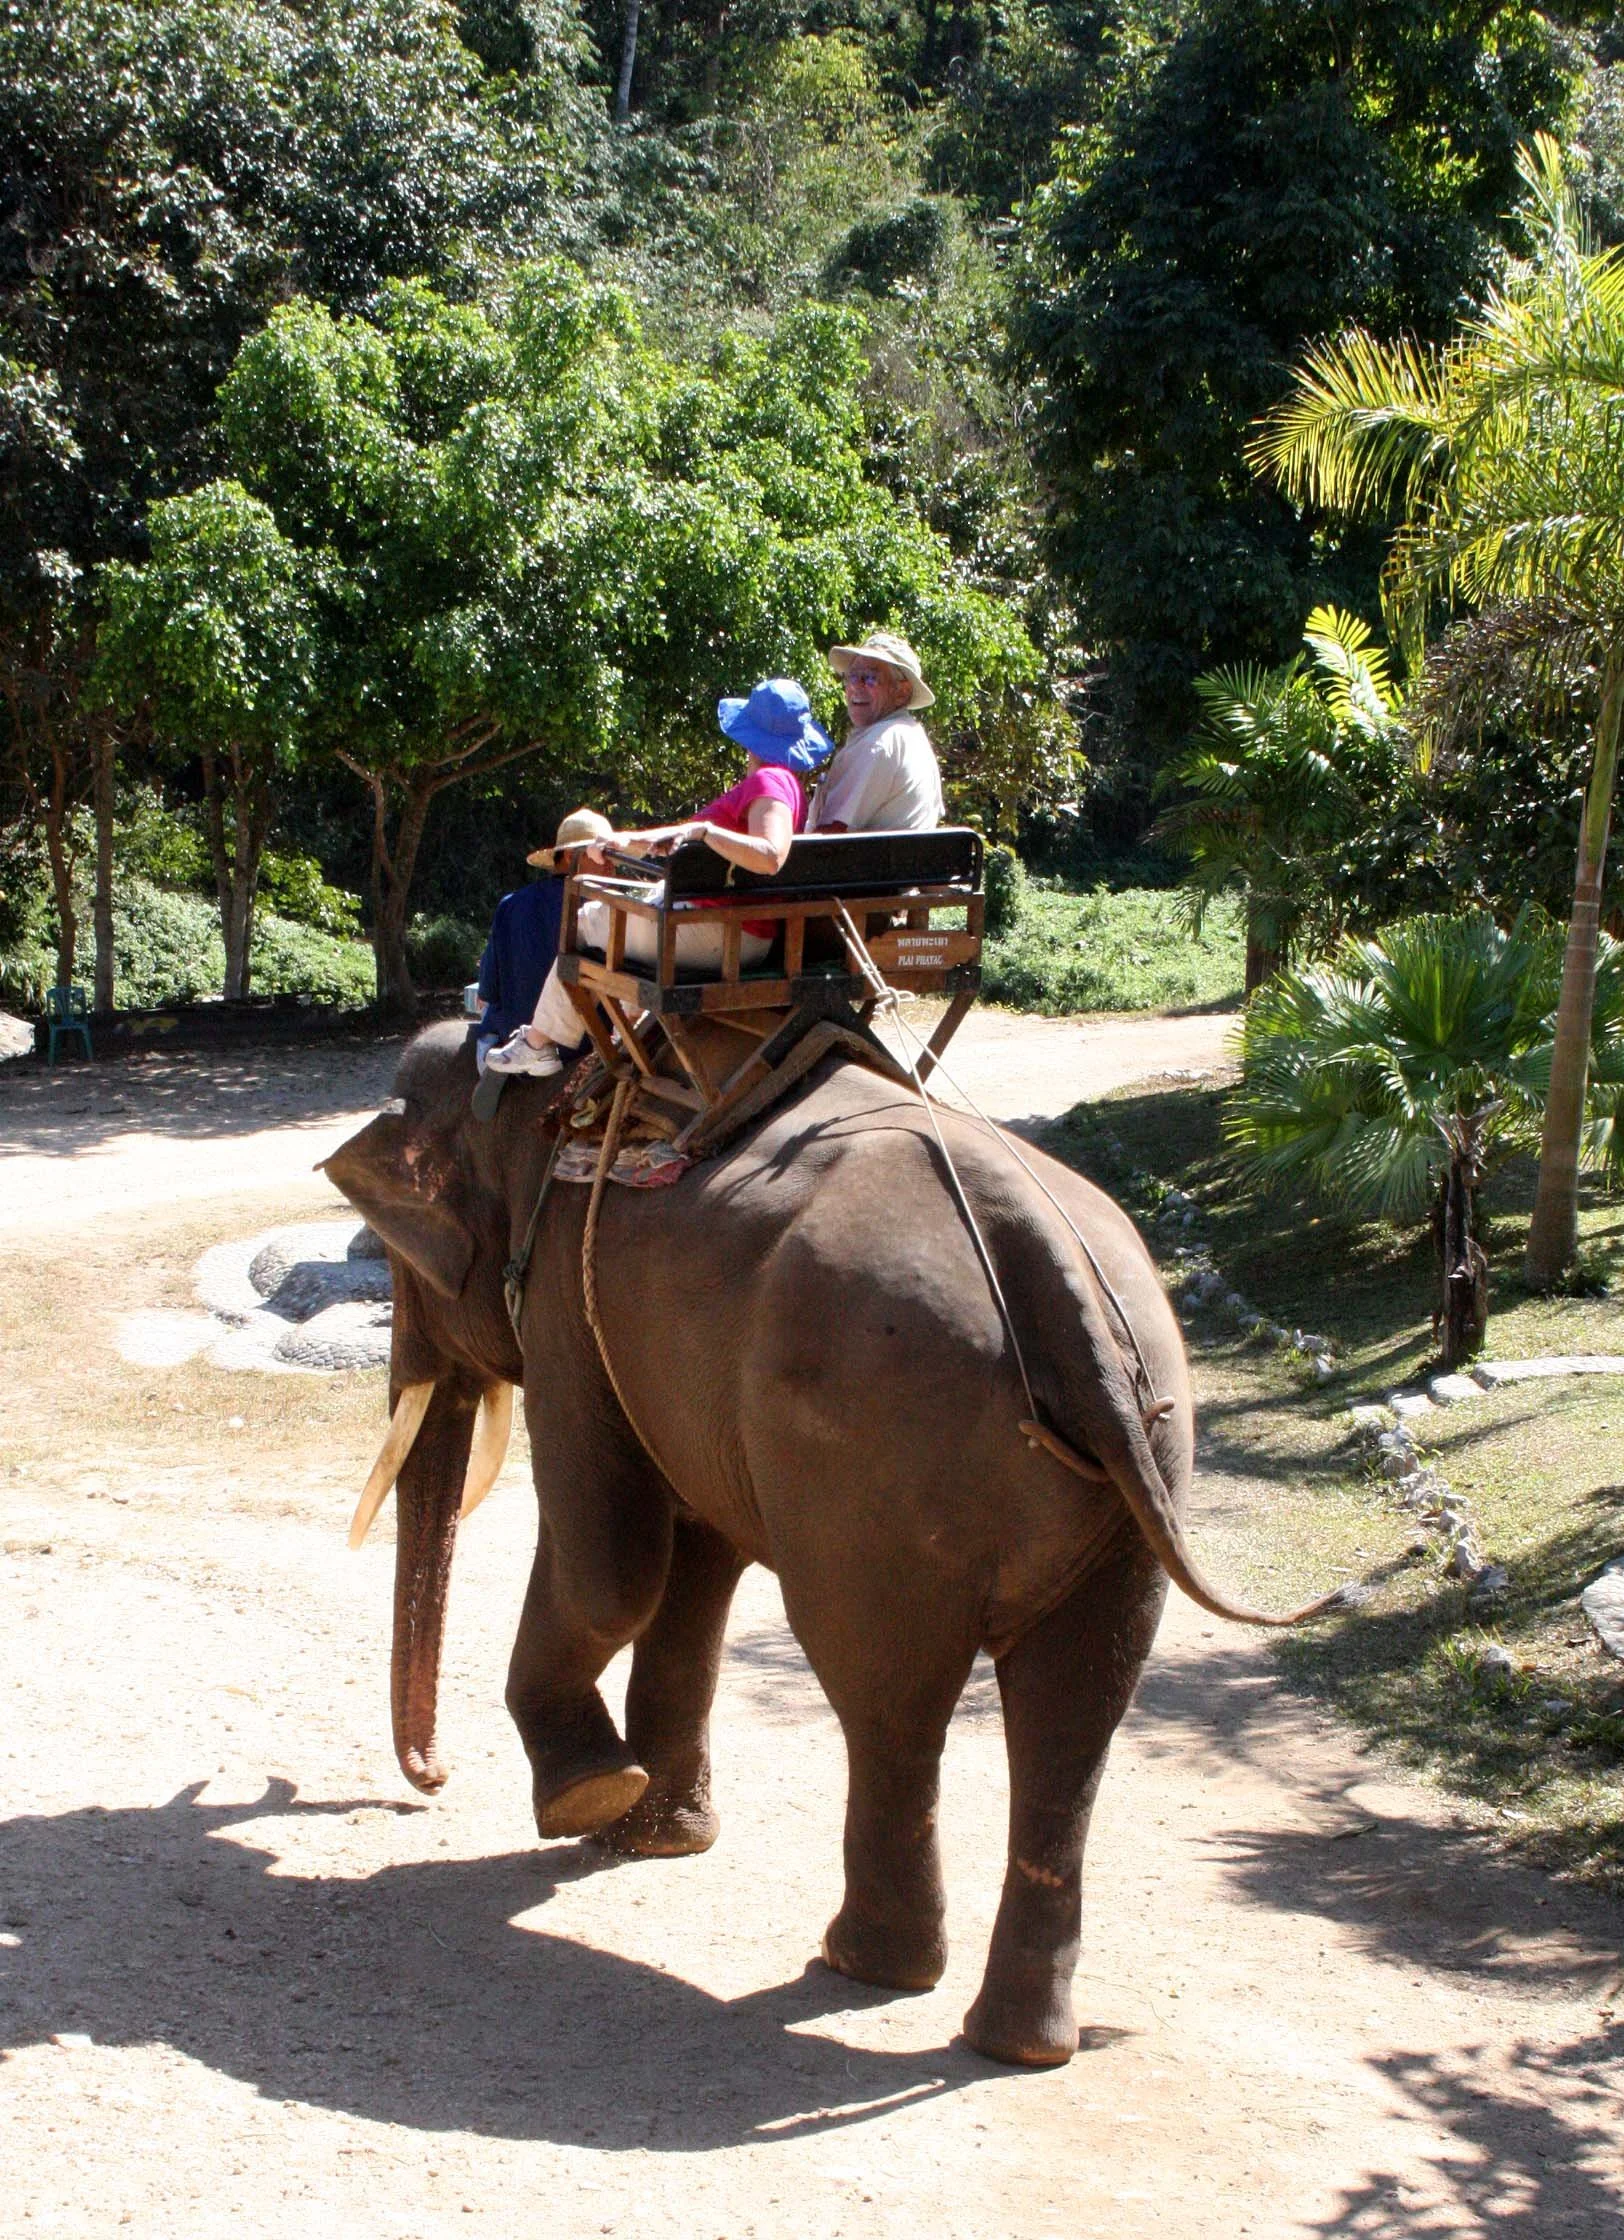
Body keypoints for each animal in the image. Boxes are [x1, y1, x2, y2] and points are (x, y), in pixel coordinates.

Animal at [324, 1020, 1330, 2067]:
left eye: (398, 1263)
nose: (430, 1784)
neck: (558, 1104)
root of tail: (1048, 1266)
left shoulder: (569, 1289)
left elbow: (614, 1564)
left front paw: (585, 1805)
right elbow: (695, 1564)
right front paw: (648, 1840)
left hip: (873, 1459)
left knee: (888, 1698)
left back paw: (865, 1967)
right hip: (1140, 1466)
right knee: (1076, 1711)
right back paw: (1020, 2045)